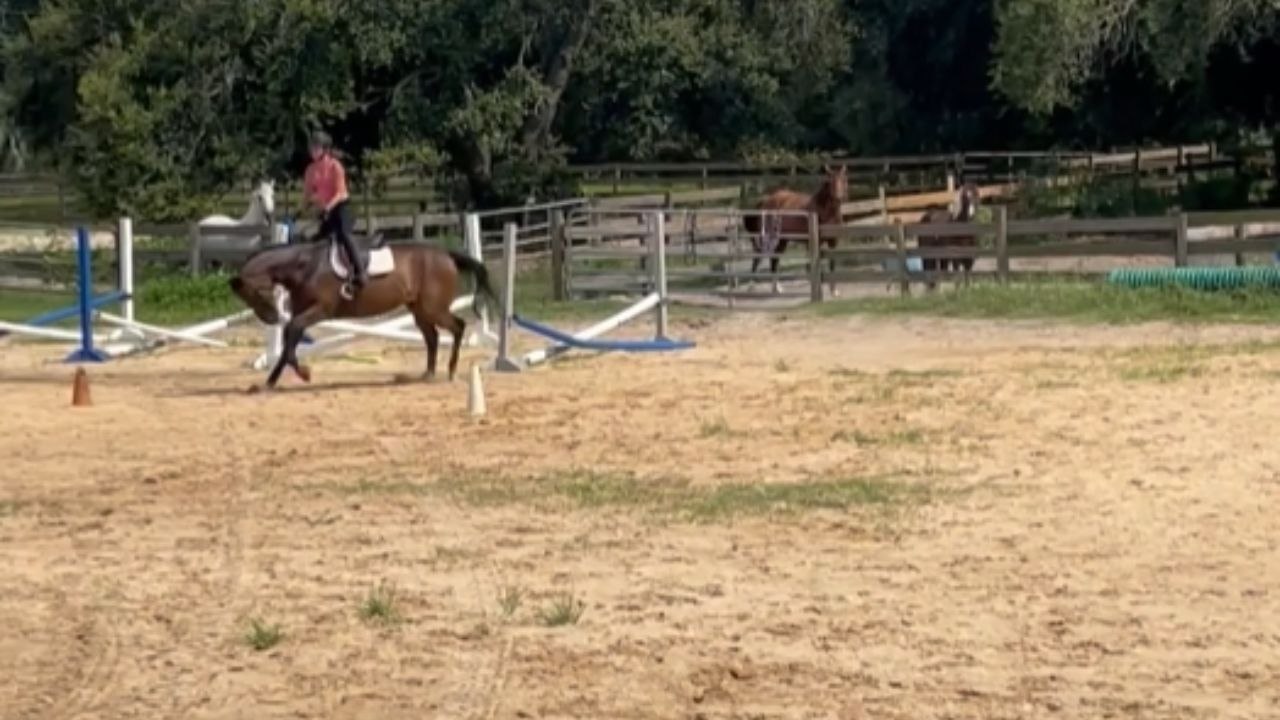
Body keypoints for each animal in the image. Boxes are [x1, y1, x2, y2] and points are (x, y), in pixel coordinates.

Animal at [228, 235, 499, 391]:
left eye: (252, 293)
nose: (271, 318)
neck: (304, 267)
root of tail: (446, 254)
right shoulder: (302, 313)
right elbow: (288, 343)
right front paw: (273, 380)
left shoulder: (318, 311)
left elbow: (291, 334)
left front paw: (301, 374)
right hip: (419, 310)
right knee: (432, 338)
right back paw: (428, 374)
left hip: (433, 309)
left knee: (458, 326)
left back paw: (450, 371)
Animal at [742, 165, 847, 297]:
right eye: (829, 182)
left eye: (843, 180)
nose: (839, 198)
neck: (824, 211)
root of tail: (766, 201)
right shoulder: (815, 242)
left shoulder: (833, 241)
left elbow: (832, 264)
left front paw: (834, 291)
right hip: (767, 239)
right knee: (758, 258)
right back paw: (751, 287)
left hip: (781, 241)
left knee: (774, 260)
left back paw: (777, 288)